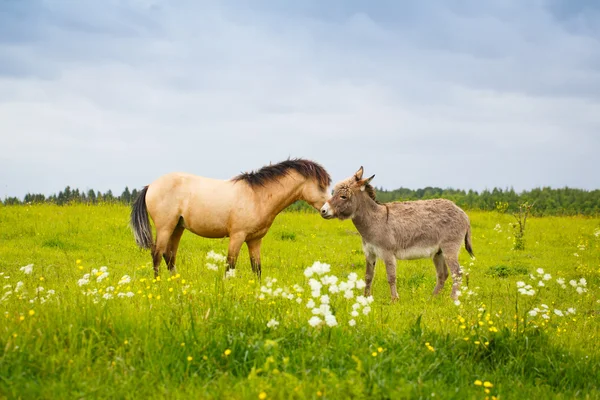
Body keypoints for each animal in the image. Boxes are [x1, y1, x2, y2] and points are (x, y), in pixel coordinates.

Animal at [129, 158, 332, 276]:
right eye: (321, 186)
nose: (326, 211)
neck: (257, 196)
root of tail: (151, 185)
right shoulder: (237, 236)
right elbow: (230, 266)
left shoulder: (255, 240)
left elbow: (257, 269)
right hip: (165, 227)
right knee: (157, 254)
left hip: (178, 227)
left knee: (169, 255)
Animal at [318, 166, 474, 300]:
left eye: (343, 196)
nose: (323, 211)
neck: (375, 220)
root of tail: (463, 213)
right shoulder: (369, 252)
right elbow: (368, 276)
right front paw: (365, 298)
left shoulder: (388, 253)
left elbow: (391, 277)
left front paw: (394, 299)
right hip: (438, 252)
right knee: (443, 274)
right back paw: (432, 299)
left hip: (450, 247)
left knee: (457, 273)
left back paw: (453, 299)